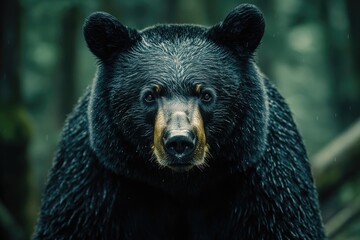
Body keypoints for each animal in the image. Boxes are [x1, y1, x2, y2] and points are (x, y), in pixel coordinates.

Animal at [33, 3, 326, 240]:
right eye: (150, 95)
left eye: (206, 94)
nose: (179, 141)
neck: (180, 185)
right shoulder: (94, 180)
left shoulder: (263, 179)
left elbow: (286, 222)